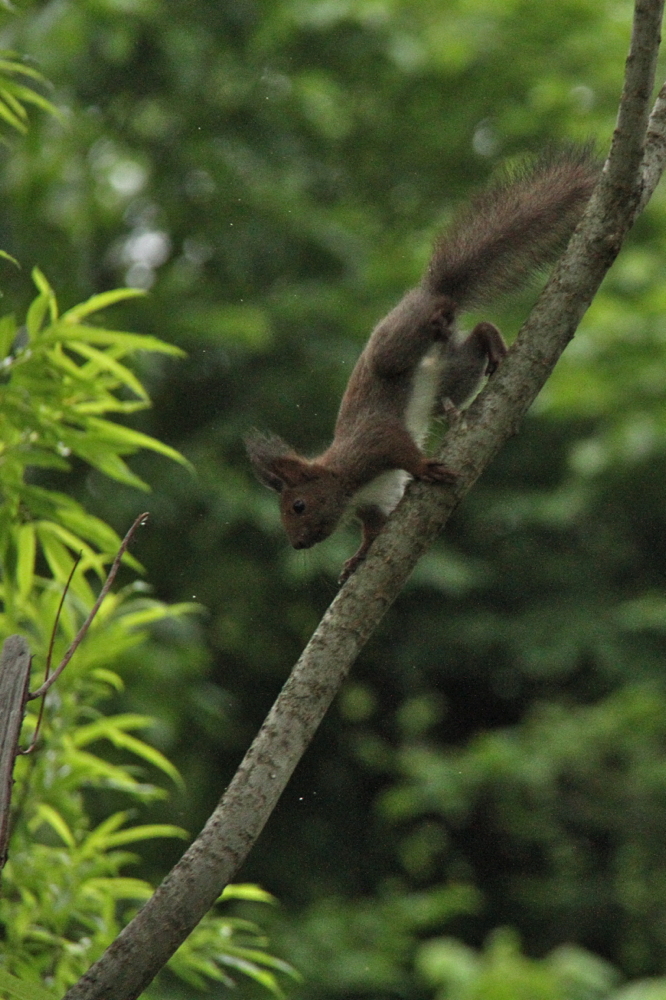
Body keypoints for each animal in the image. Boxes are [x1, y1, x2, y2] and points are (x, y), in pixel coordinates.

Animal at [244, 149, 596, 584]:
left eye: (298, 506)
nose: (297, 544)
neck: (344, 482)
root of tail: (426, 291)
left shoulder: (372, 442)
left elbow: (399, 447)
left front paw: (425, 466)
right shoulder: (371, 503)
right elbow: (373, 530)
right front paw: (357, 558)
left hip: (396, 344)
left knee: (434, 327)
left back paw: (443, 318)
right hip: (453, 372)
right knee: (475, 335)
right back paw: (488, 347)